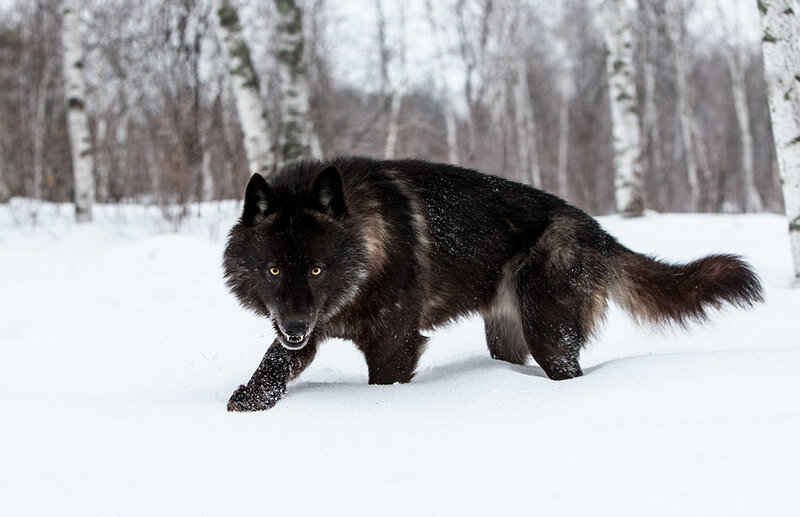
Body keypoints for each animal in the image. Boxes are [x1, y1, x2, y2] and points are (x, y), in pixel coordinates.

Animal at [223, 156, 763, 411]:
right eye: (274, 270)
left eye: (317, 269)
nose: (295, 326)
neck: (369, 245)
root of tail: (598, 230)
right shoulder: (305, 331)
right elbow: (272, 364)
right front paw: (247, 403)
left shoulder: (395, 345)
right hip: (506, 337)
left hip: (549, 336)